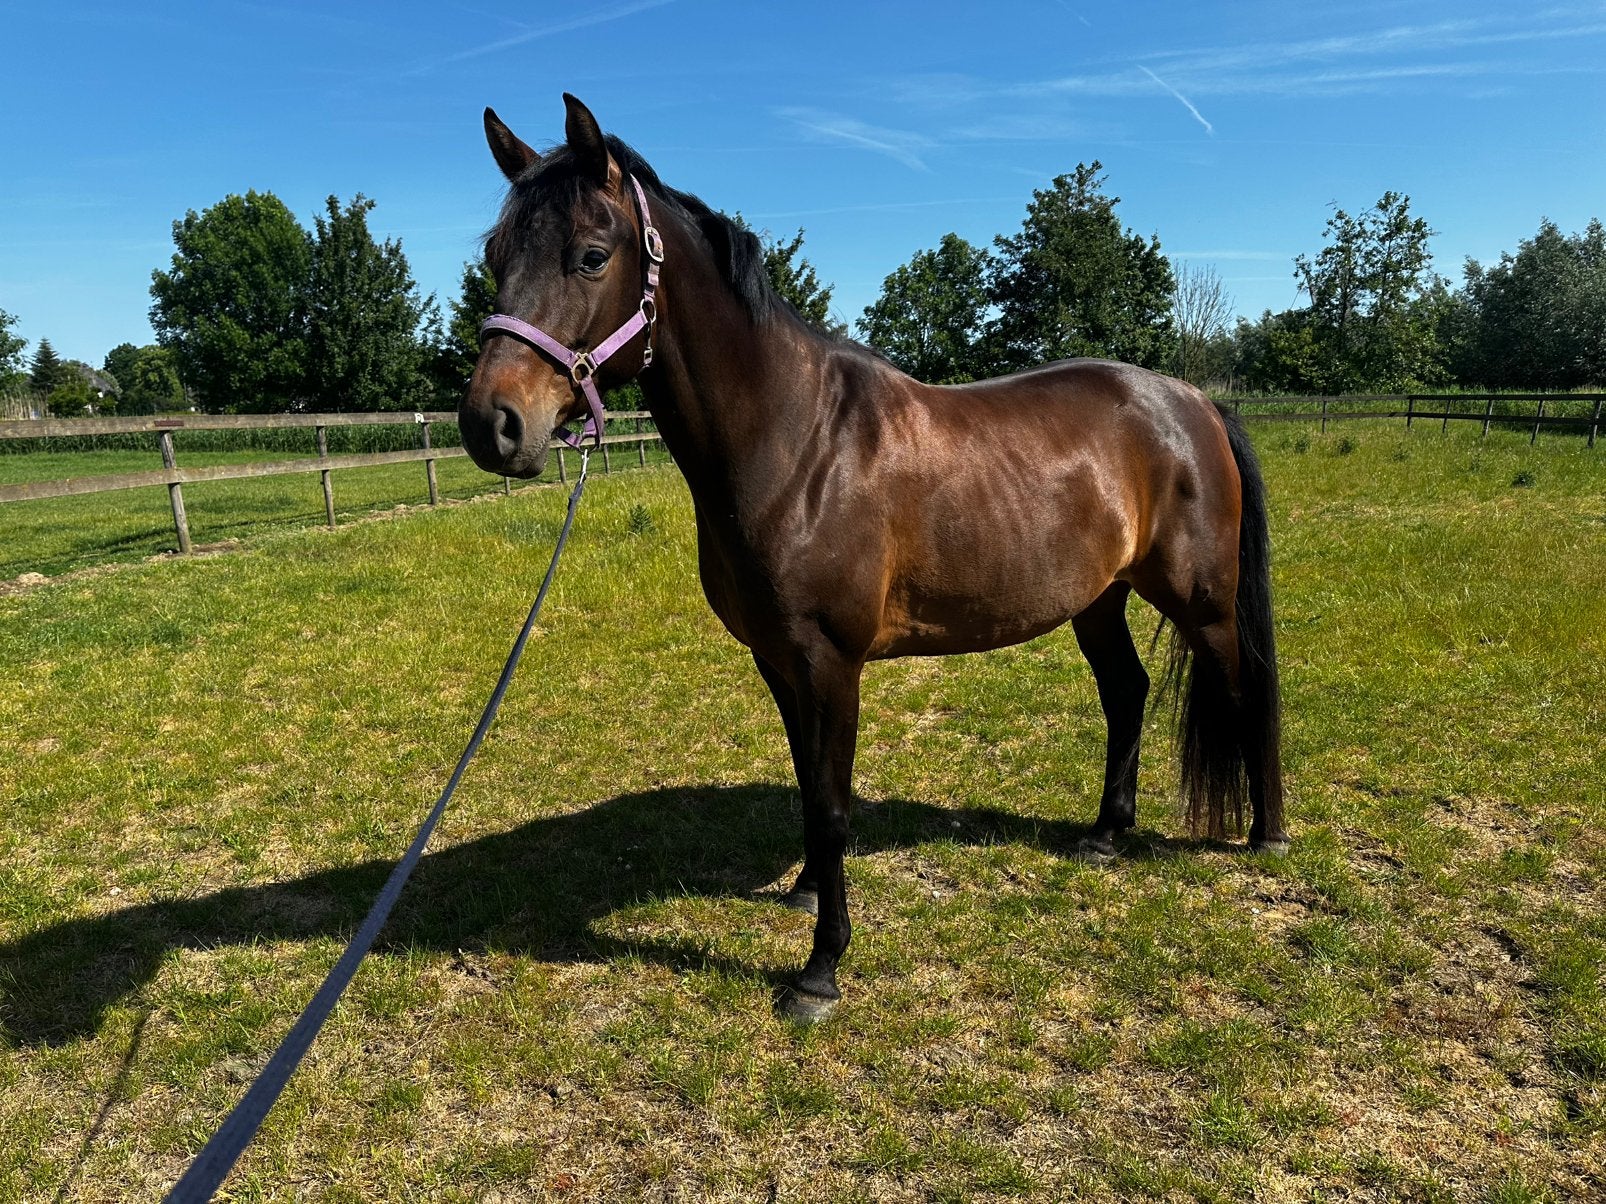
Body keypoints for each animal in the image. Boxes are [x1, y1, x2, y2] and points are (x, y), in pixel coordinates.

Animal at [459, 94, 1287, 1023]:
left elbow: (832, 804)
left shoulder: (831, 661)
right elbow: (809, 783)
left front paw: (820, 970)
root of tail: (1194, 403)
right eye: (495, 257)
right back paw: (1107, 834)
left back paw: (1266, 836)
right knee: (1127, 693)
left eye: (591, 256)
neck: (795, 439)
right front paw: (806, 892)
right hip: (1099, 601)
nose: (491, 424)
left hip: (1202, 603)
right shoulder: (779, 661)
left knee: (1247, 689)